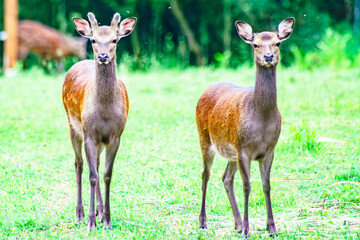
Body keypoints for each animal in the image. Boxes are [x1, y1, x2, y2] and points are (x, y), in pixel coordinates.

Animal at [62, 11, 136, 231]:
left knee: (95, 163)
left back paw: (100, 211)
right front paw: (90, 222)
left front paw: (107, 220)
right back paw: (80, 214)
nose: (102, 56)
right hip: (72, 125)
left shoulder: (115, 136)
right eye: (93, 39)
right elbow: (93, 176)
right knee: (79, 164)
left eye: (114, 40)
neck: (104, 113)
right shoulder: (88, 134)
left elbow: (106, 174)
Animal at [195, 17, 294, 237]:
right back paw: (204, 222)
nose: (268, 56)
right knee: (206, 174)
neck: (262, 121)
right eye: (255, 44)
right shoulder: (243, 149)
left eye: (278, 43)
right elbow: (247, 186)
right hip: (205, 139)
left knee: (226, 178)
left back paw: (237, 223)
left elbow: (266, 185)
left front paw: (272, 228)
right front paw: (248, 230)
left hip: (231, 152)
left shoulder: (269, 150)